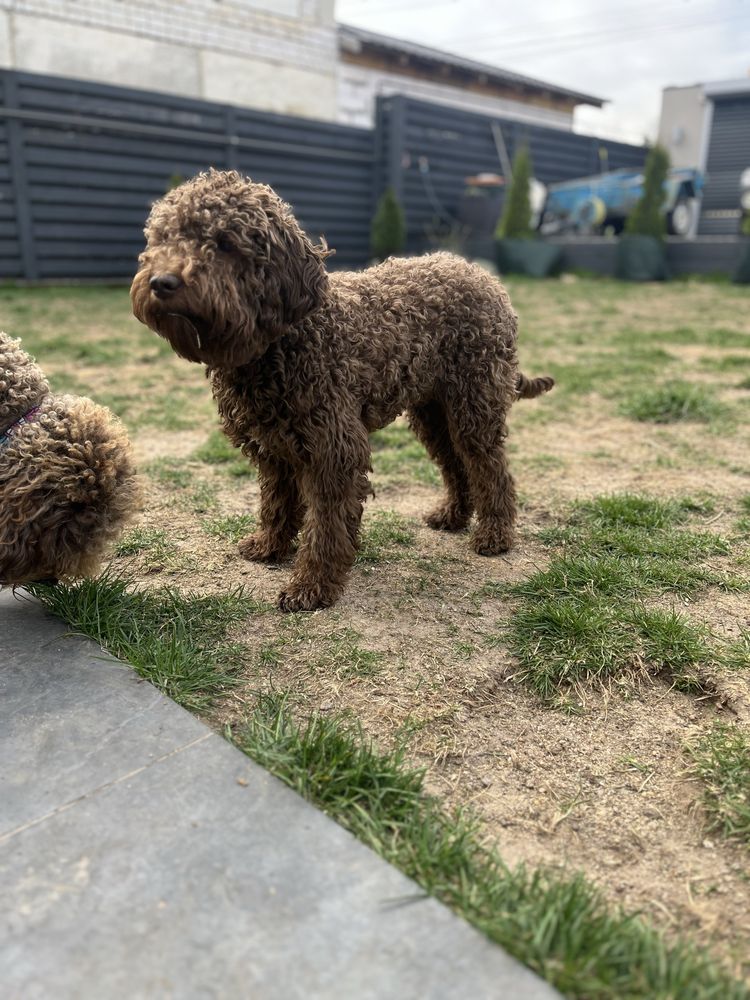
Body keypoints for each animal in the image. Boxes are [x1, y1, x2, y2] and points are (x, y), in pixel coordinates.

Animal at [131, 169, 552, 612]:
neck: (284, 341)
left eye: (226, 243)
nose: (162, 282)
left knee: (491, 469)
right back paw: (452, 516)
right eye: (163, 237)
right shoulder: (275, 448)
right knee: (457, 464)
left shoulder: (334, 450)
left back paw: (494, 536)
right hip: (434, 412)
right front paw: (269, 546)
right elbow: (276, 504)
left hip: (474, 405)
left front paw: (312, 586)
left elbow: (327, 527)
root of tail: (485, 277)